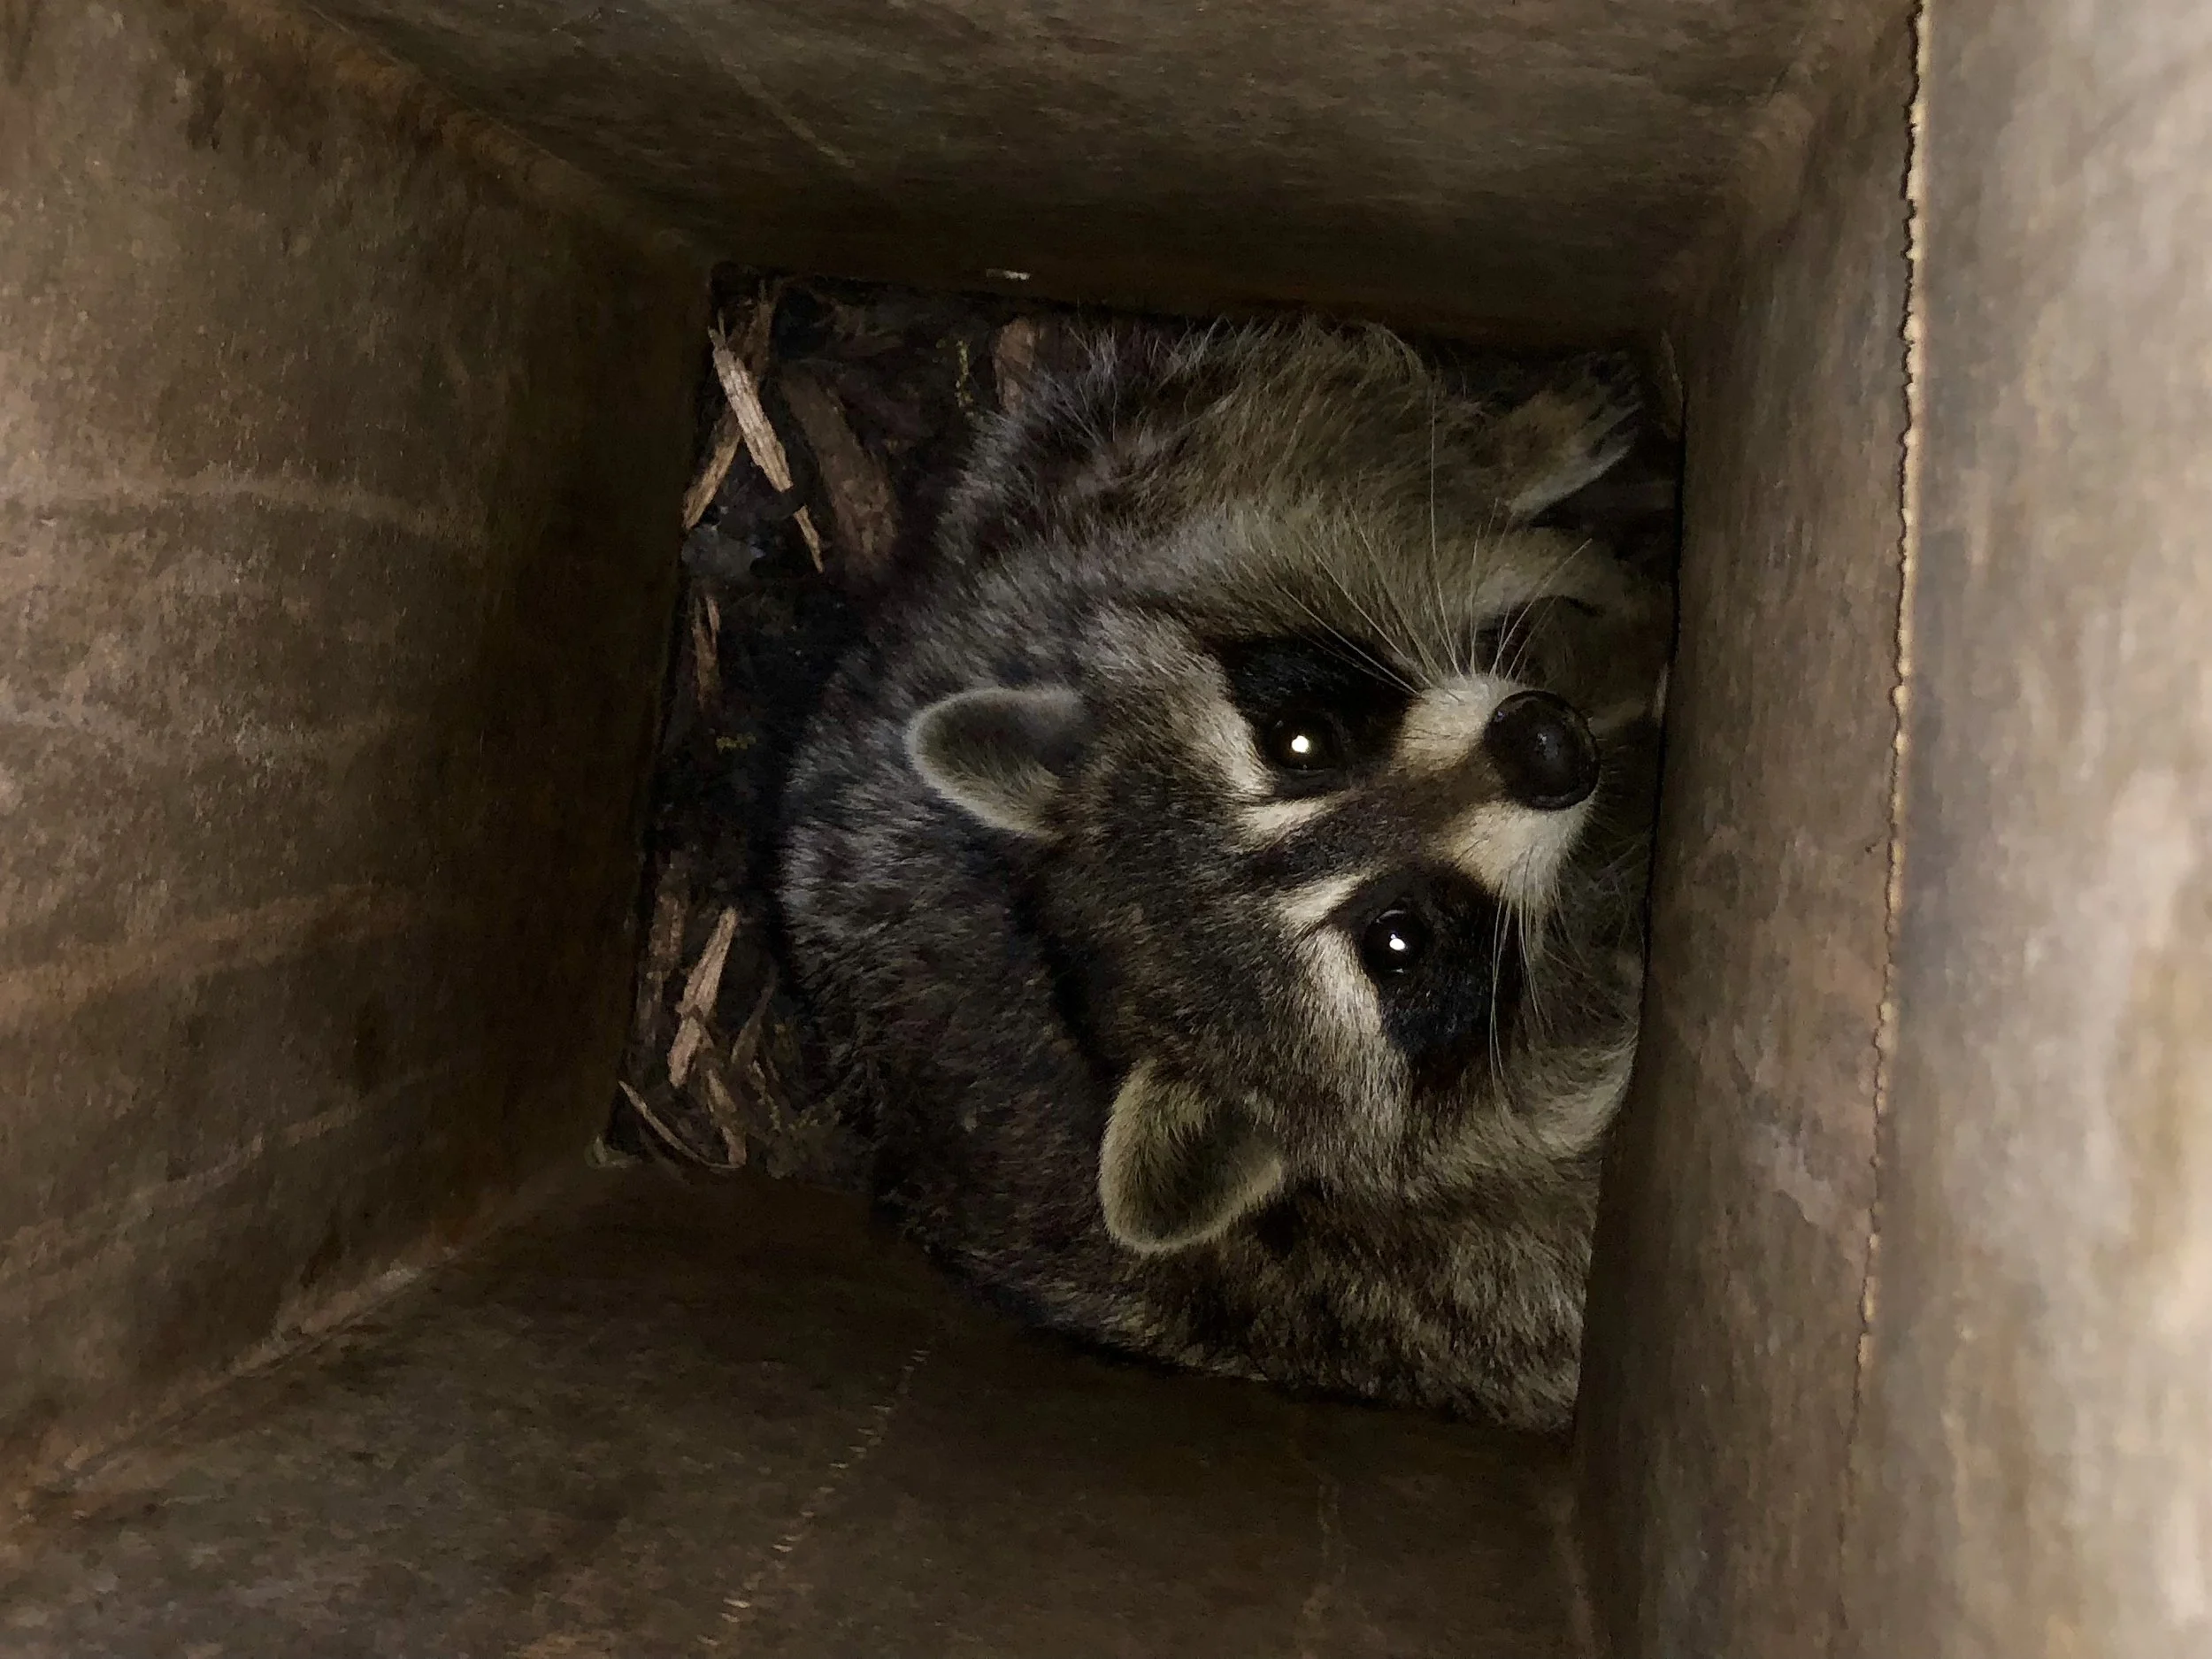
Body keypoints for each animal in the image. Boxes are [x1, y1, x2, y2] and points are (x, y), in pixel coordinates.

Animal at [776, 320, 1670, 1432]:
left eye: (1301, 740)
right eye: (1399, 941)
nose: (1542, 747)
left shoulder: (1185, 531)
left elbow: (1427, 523)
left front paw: (1562, 556)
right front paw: (1630, 642)